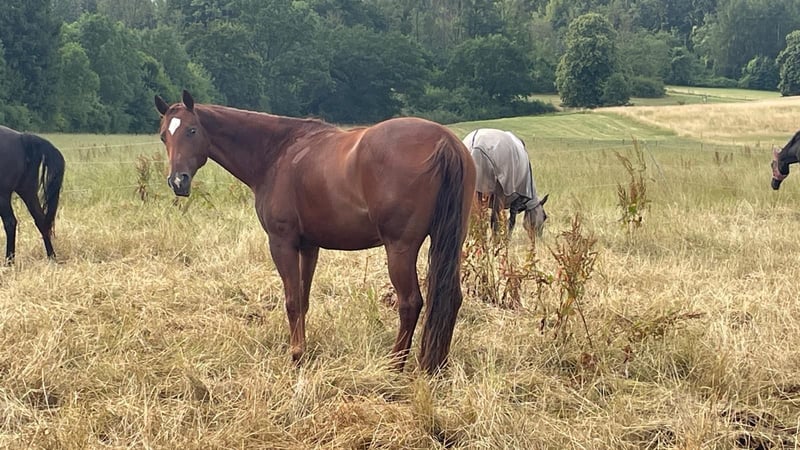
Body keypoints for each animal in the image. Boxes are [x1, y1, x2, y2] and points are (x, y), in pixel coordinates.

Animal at [0, 126, 65, 263]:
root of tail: (22, 138)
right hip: (27, 190)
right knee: (41, 221)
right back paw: (51, 258)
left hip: (3, 195)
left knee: (10, 222)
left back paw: (9, 262)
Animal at [155, 90, 476, 374]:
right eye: (163, 136)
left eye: (192, 130)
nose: (178, 181)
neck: (278, 153)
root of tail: (444, 141)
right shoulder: (309, 246)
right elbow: (304, 299)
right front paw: (304, 350)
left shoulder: (282, 243)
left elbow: (292, 301)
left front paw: (296, 355)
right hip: (450, 242)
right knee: (451, 298)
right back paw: (437, 365)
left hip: (400, 249)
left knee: (410, 303)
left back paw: (395, 366)